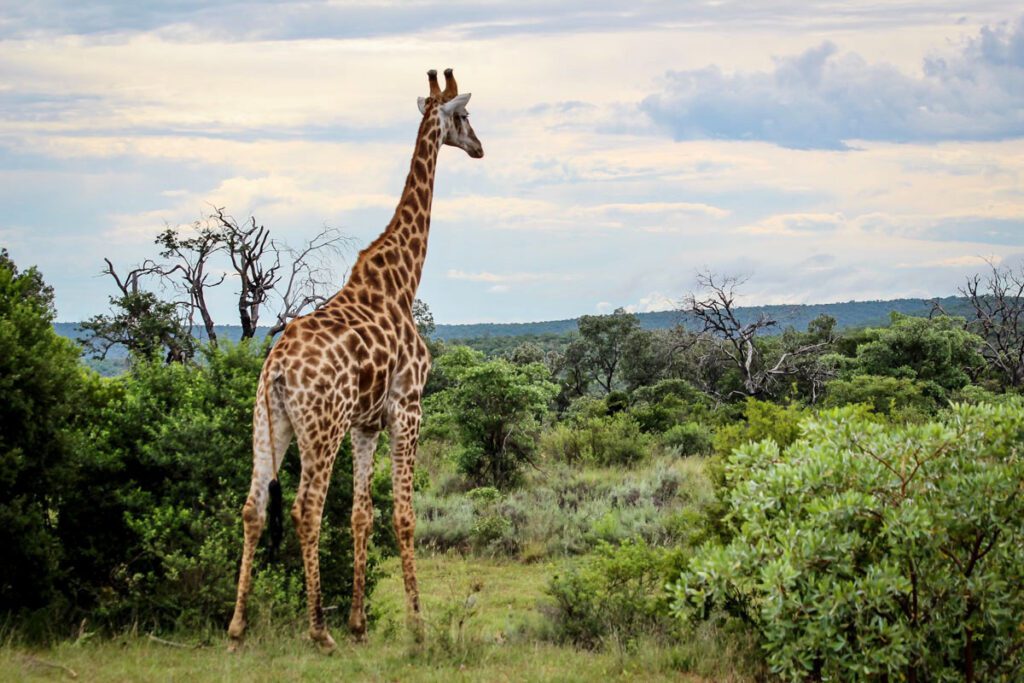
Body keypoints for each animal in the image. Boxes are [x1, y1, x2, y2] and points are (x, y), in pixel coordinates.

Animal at [228, 69, 483, 651]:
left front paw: (360, 623)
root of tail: (276, 368)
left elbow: (362, 514)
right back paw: (317, 631)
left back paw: (237, 626)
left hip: (268, 421)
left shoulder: (366, 423)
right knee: (305, 508)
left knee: (254, 506)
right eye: (463, 116)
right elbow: (405, 515)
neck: (402, 282)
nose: (481, 147)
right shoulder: (408, 407)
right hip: (321, 426)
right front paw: (417, 624)